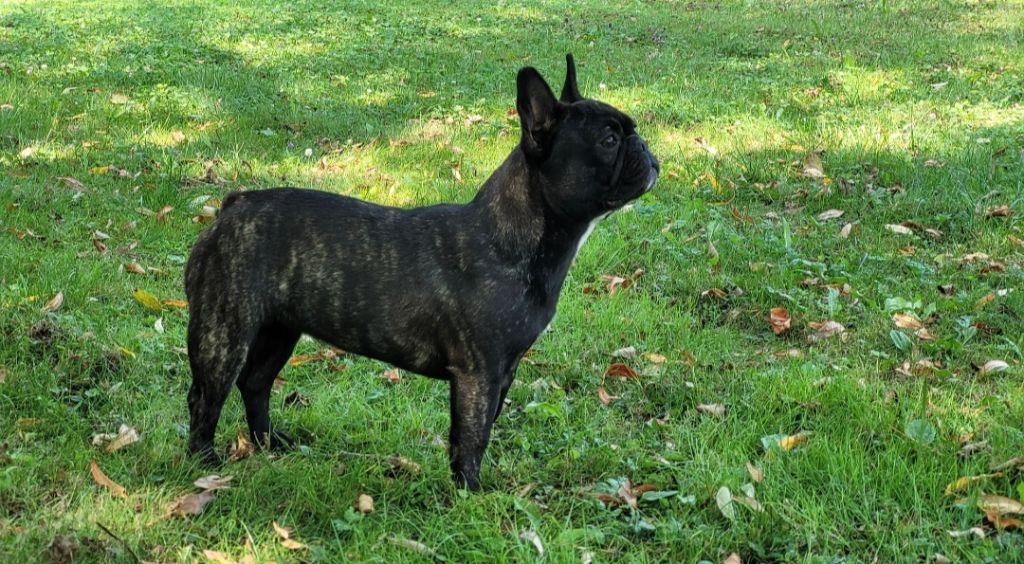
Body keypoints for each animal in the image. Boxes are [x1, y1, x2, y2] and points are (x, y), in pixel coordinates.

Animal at [185, 55, 659, 491]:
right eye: (609, 139)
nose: (645, 147)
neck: (513, 237)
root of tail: (232, 207)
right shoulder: (478, 375)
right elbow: (471, 438)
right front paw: (471, 495)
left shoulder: (501, 374)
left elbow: (476, 434)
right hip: (224, 334)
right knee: (205, 397)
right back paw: (203, 463)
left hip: (279, 330)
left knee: (256, 384)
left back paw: (269, 443)